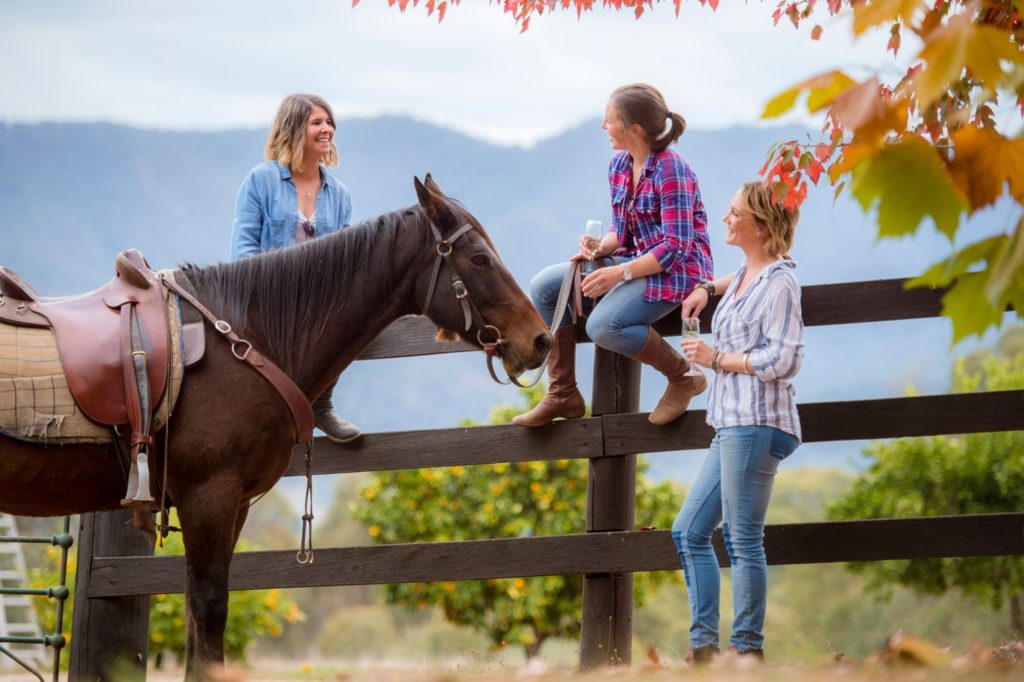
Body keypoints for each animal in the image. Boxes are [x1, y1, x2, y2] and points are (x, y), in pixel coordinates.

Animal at [0, 175, 552, 675]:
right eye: (478, 258)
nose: (541, 340)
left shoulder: (232, 505)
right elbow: (209, 611)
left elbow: (196, 626)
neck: (240, 341)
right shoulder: (209, 498)